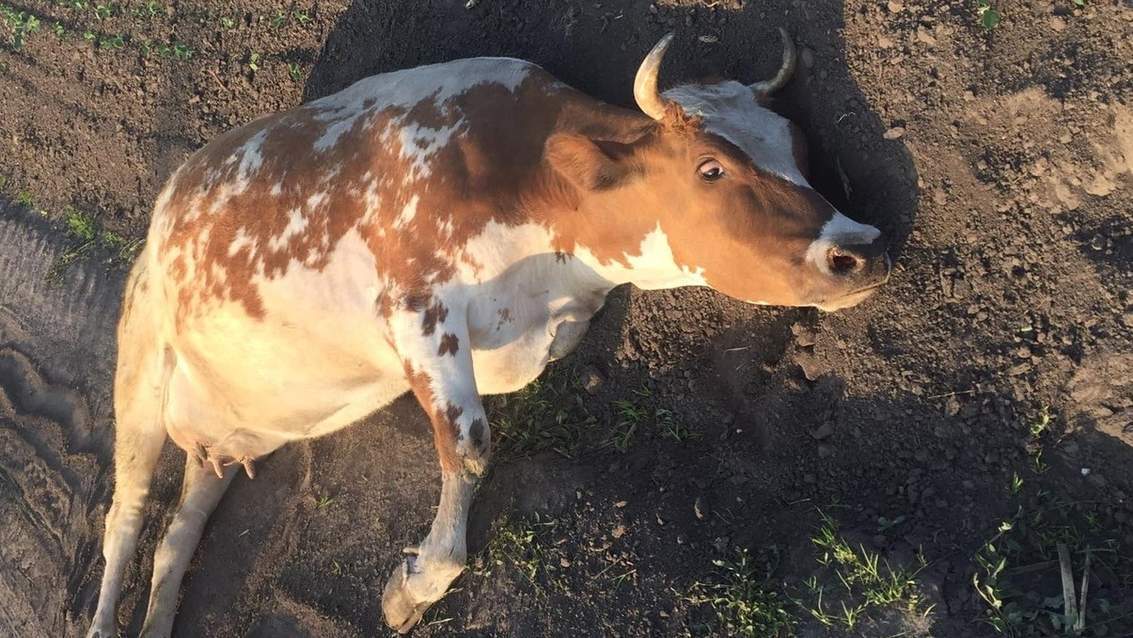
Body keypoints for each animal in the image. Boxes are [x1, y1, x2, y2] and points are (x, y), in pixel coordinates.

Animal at [86, 30, 883, 638]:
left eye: (799, 146)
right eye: (710, 167)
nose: (861, 249)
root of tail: (168, 198)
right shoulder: (415, 308)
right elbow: (469, 449)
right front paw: (413, 587)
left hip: (223, 440)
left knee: (177, 536)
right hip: (140, 364)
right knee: (125, 520)